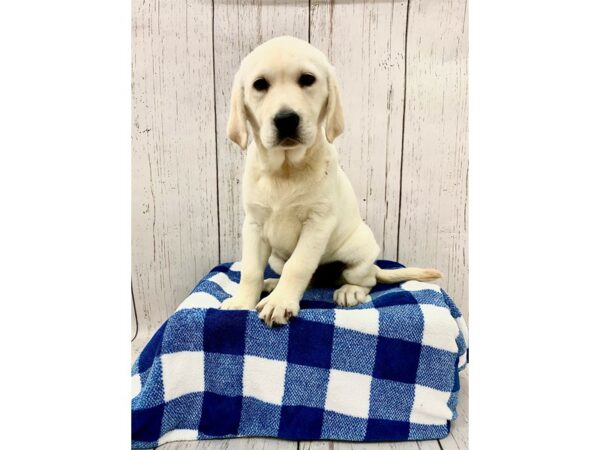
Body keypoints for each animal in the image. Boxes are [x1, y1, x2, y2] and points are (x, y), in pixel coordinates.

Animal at [220, 35, 440, 324]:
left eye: (307, 79)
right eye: (260, 85)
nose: (286, 120)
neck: (286, 169)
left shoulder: (318, 223)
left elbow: (298, 266)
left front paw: (280, 302)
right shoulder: (254, 225)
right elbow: (250, 270)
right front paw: (243, 300)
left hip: (359, 251)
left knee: (365, 279)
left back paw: (349, 291)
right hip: (278, 257)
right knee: (309, 278)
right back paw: (273, 284)